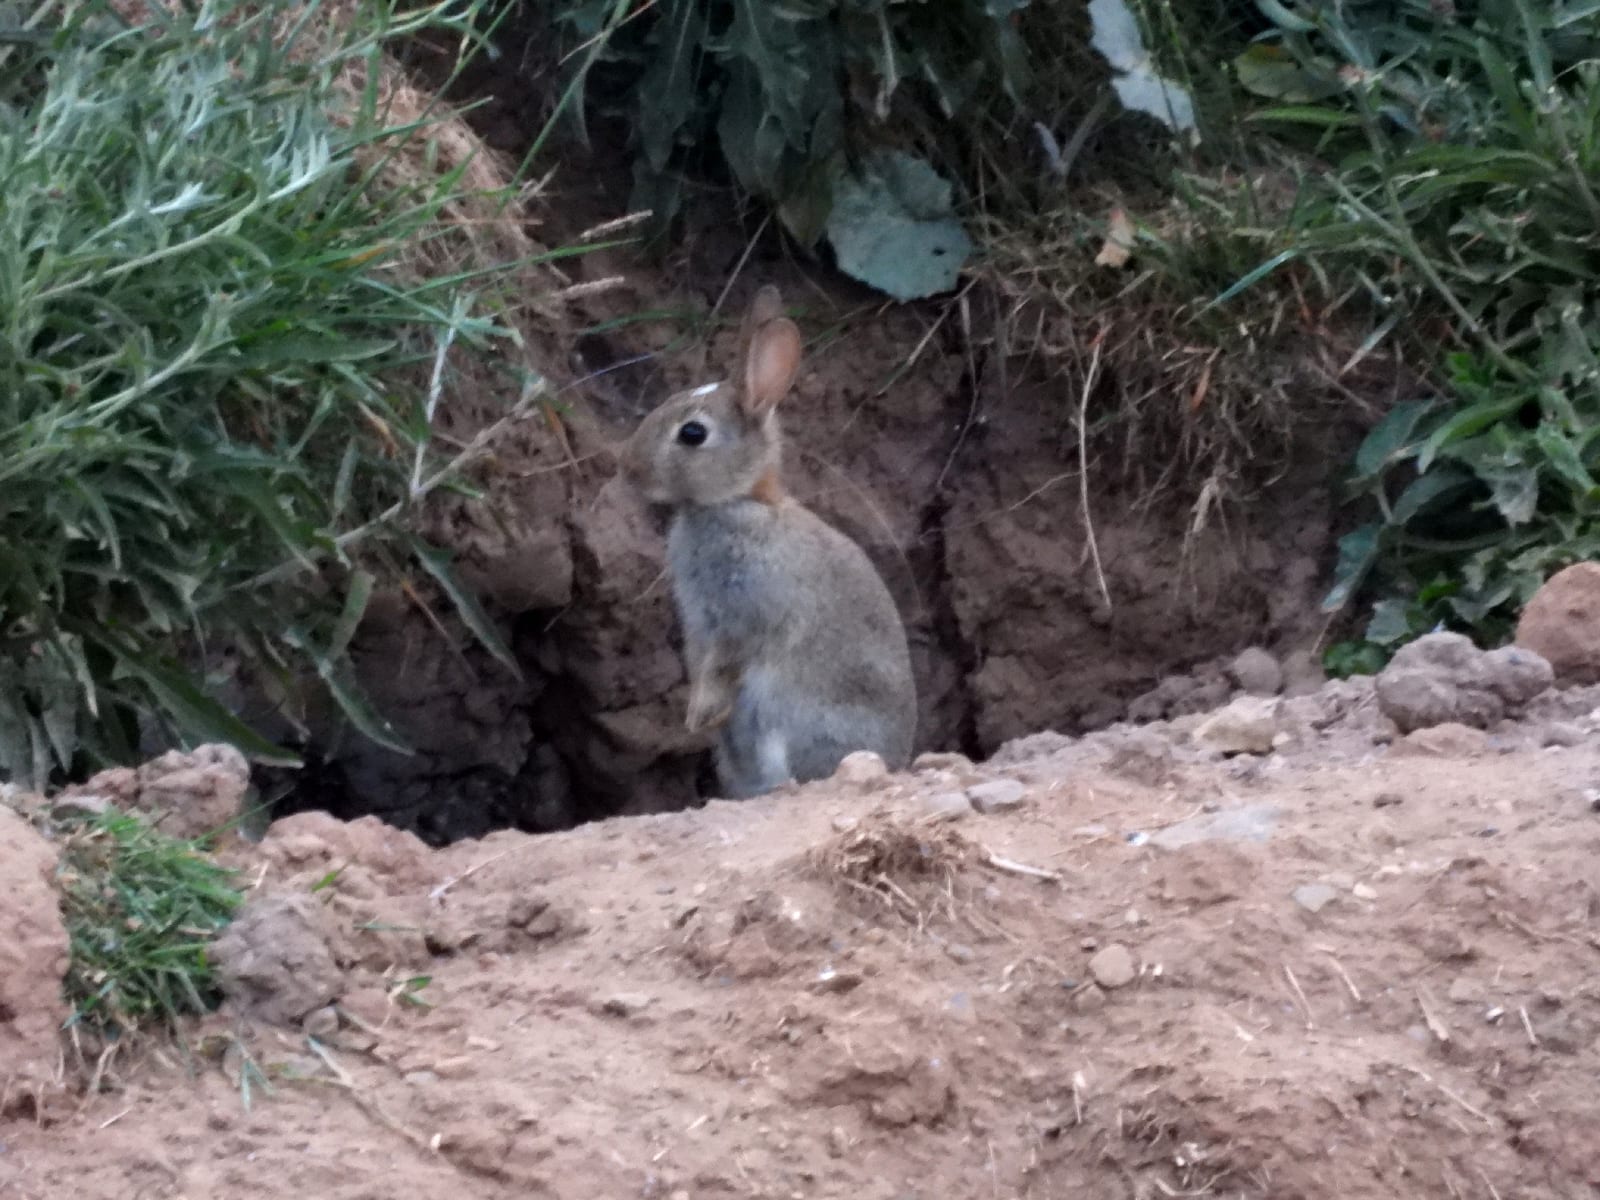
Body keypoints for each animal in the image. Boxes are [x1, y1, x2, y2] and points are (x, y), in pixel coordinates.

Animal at [619, 285, 917, 799]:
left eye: (692, 433)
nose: (630, 469)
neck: (739, 503)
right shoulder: (701, 628)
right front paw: (697, 717)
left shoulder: (745, 616)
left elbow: (725, 662)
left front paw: (699, 714)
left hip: (789, 722)